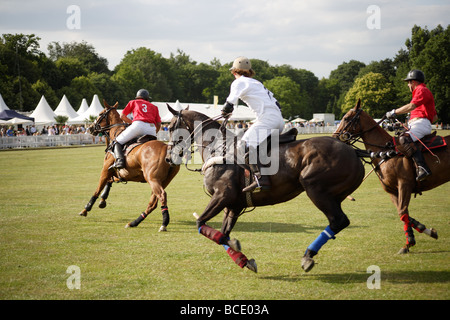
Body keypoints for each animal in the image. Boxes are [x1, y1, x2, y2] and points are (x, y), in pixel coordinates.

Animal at [79, 100, 179, 230]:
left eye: (100, 114)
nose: (91, 128)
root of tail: (168, 151)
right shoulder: (121, 173)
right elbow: (110, 181)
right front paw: (102, 200)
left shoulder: (105, 169)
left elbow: (97, 189)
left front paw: (86, 209)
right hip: (164, 180)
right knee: (153, 202)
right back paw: (134, 222)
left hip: (152, 178)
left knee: (161, 196)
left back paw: (163, 223)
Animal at [163, 105, 364, 272]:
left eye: (171, 128)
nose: (168, 158)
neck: (217, 148)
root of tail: (353, 151)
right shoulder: (233, 205)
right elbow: (223, 234)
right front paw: (243, 260)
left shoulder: (222, 196)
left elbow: (201, 224)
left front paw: (236, 247)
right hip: (334, 195)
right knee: (339, 221)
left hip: (315, 188)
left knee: (338, 220)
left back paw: (308, 256)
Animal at [332, 99, 444, 252]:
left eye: (346, 118)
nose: (334, 137)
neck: (385, 151)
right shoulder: (392, 190)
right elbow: (404, 213)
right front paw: (426, 232)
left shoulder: (404, 184)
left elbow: (403, 211)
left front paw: (409, 242)